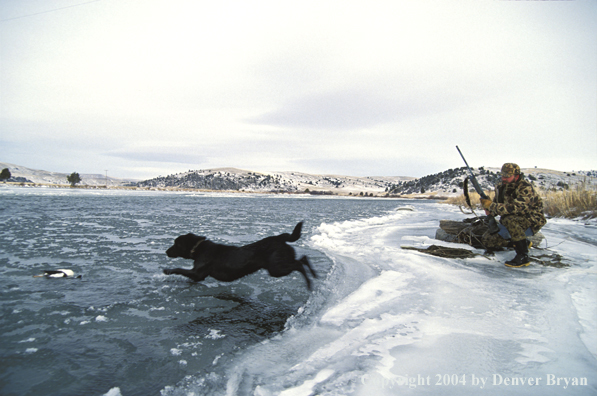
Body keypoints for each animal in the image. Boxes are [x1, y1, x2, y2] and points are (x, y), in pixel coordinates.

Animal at [163, 223, 316, 290]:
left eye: (175, 244)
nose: (166, 251)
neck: (199, 248)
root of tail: (280, 238)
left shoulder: (198, 273)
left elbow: (179, 269)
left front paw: (167, 270)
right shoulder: (197, 276)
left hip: (275, 268)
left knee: (299, 264)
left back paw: (309, 283)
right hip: (279, 264)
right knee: (303, 259)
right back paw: (314, 274)